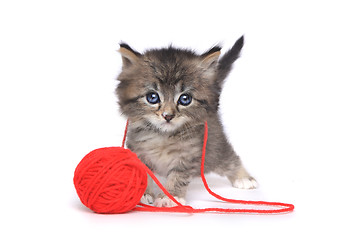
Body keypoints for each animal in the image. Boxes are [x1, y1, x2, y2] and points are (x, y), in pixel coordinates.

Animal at [116, 36, 258, 207]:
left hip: (214, 150)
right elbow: (143, 172)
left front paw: (170, 197)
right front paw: (143, 193)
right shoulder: (138, 150)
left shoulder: (189, 153)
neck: (162, 136)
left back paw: (243, 178)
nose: (168, 116)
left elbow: (178, 176)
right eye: (152, 97)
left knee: (230, 158)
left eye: (185, 99)